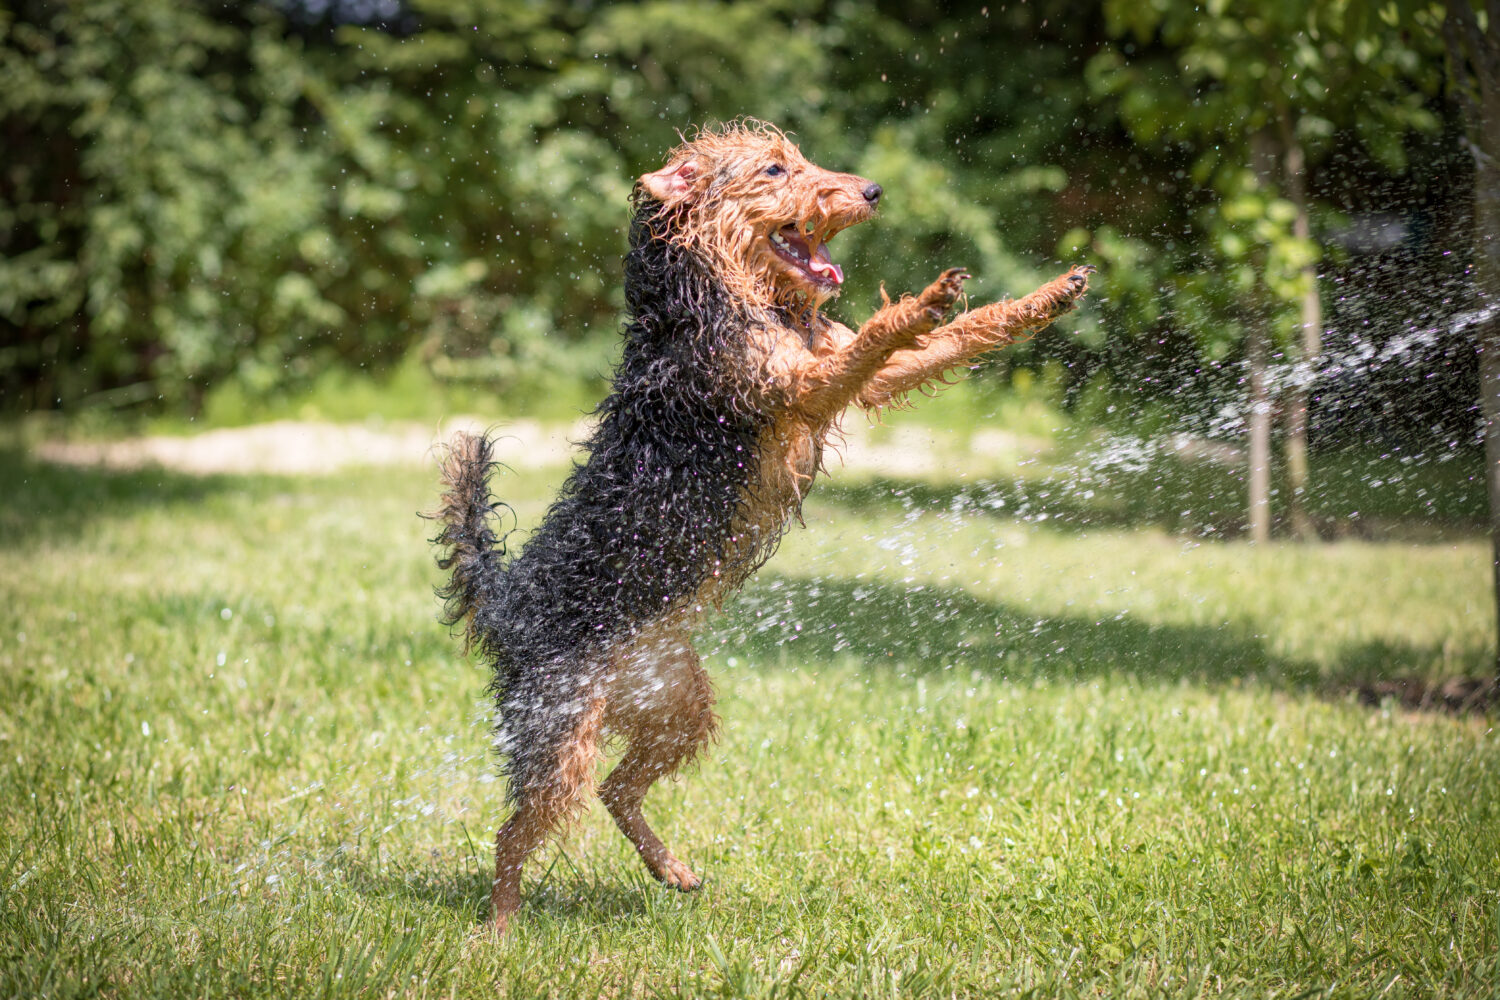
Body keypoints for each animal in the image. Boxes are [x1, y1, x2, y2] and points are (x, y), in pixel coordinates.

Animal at [432, 119, 1092, 929]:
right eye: (775, 169)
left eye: (799, 158)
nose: (873, 190)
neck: (722, 291)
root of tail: (507, 602)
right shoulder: (799, 385)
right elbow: (884, 332)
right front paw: (926, 300)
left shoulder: (847, 370)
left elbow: (960, 334)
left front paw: (1047, 296)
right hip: (561, 729)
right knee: (516, 831)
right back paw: (498, 929)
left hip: (676, 703)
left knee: (617, 790)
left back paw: (672, 870)